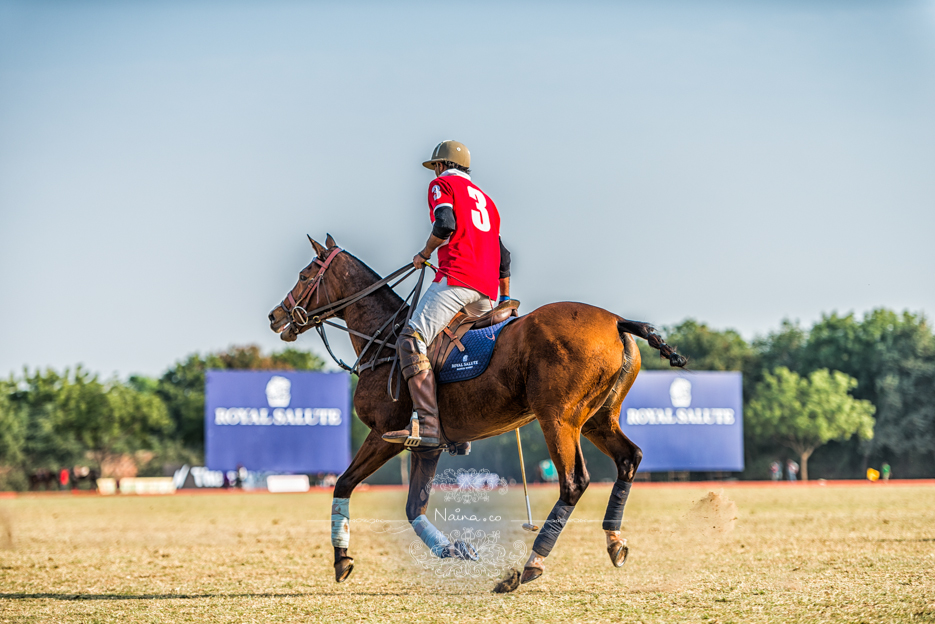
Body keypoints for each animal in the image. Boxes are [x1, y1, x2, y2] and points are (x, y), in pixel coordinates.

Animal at [266, 235, 684, 588]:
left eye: (305, 275)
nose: (275, 316)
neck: (383, 340)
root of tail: (617, 321)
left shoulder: (386, 433)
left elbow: (344, 483)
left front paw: (341, 559)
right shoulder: (428, 445)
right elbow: (413, 506)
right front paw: (455, 549)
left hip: (558, 417)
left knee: (574, 481)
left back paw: (530, 565)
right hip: (598, 418)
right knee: (629, 458)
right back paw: (614, 541)